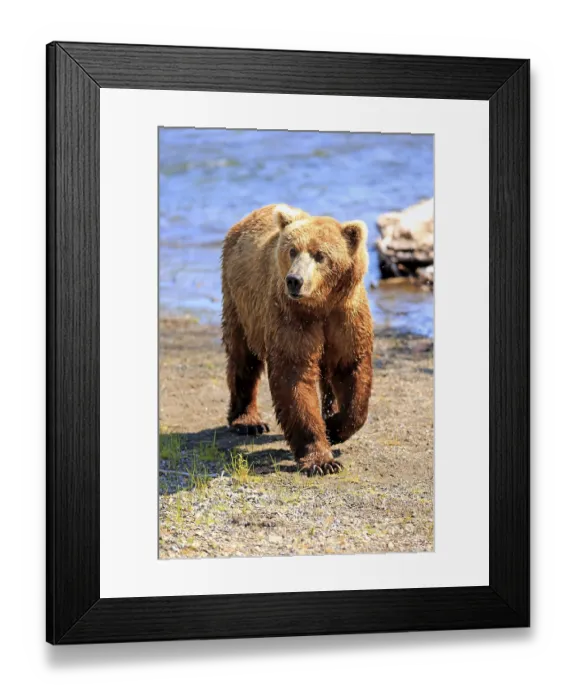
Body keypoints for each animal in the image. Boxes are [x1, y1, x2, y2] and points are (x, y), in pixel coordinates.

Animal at [221, 204, 373, 476]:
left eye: (320, 255)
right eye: (292, 250)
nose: (294, 280)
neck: (321, 304)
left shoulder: (346, 315)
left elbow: (352, 369)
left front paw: (334, 427)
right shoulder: (291, 317)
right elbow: (294, 376)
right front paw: (322, 461)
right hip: (240, 302)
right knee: (243, 358)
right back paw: (247, 421)